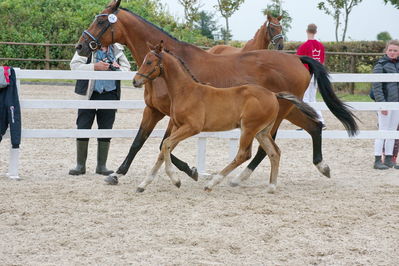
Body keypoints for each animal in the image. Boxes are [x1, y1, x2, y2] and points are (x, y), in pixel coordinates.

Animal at [133, 41, 320, 193]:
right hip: (262, 132)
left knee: (244, 154)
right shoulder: (178, 126)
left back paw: (213, 183)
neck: (185, 91)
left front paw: (176, 180)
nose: (135, 81)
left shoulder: (192, 127)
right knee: (274, 152)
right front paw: (143, 184)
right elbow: (164, 149)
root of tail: (273, 94)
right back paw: (271, 187)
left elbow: (166, 144)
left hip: (249, 129)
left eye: (149, 62)